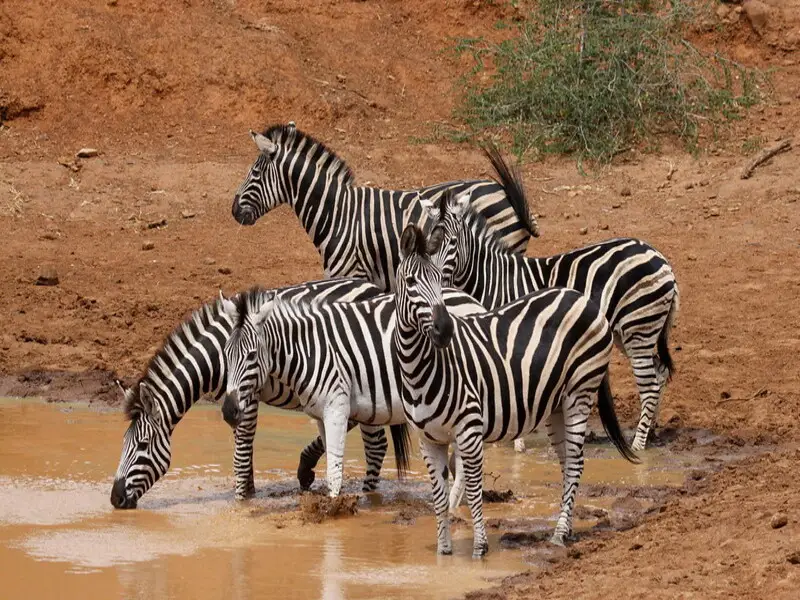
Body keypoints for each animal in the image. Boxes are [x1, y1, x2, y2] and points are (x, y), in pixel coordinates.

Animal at [109, 278, 396, 508]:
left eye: (142, 446)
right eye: (122, 443)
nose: (115, 499)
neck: (216, 356)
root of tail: (372, 287)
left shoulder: (249, 395)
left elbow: (242, 451)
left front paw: (241, 503)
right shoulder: (233, 401)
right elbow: (243, 449)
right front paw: (249, 492)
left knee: (376, 444)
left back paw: (366, 496)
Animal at [219, 284, 488, 500]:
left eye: (252, 355)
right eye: (226, 353)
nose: (229, 411)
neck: (309, 349)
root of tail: (473, 302)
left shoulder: (336, 409)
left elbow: (335, 470)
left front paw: (333, 514)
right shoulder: (321, 414)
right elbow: (331, 462)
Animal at [392, 224, 636, 556]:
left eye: (439, 280)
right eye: (411, 281)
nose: (445, 329)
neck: (421, 369)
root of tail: (581, 297)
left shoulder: (469, 430)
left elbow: (473, 489)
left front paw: (480, 548)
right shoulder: (428, 439)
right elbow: (439, 498)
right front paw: (444, 552)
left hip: (580, 390)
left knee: (575, 462)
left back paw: (559, 534)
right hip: (556, 404)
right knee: (565, 462)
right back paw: (567, 528)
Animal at [428, 185, 680, 452]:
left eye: (452, 242)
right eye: (429, 242)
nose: (437, 281)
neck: (491, 277)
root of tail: (662, 261)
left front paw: (517, 444)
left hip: (638, 328)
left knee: (650, 386)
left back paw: (639, 443)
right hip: (630, 332)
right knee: (660, 371)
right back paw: (651, 430)